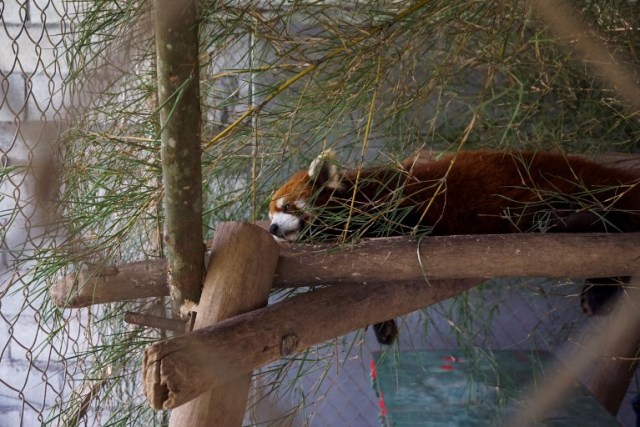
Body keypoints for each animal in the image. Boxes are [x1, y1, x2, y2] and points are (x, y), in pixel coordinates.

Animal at [270, 150, 640, 344]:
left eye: (287, 207)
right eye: (271, 214)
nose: (272, 228)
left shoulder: (399, 201)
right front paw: (384, 325)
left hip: (548, 189)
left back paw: (576, 222)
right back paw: (599, 295)